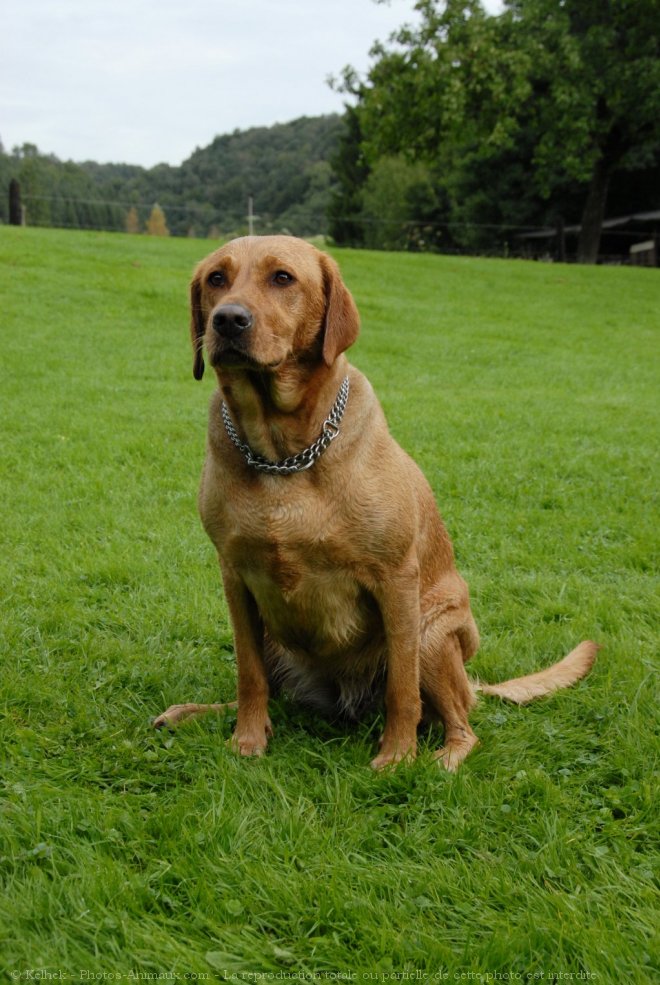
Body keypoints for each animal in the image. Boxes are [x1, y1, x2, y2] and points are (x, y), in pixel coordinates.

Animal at [155, 236, 600, 768]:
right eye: (215, 279)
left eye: (282, 278)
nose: (227, 320)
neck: (282, 456)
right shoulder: (235, 578)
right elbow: (249, 674)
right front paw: (246, 740)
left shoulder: (395, 581)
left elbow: (402, 689)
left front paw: (399, 757)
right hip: (276, 637)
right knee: (274, 691)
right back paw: (193, 713)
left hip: (433, 633)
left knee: (461, 723)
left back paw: (444, 758)